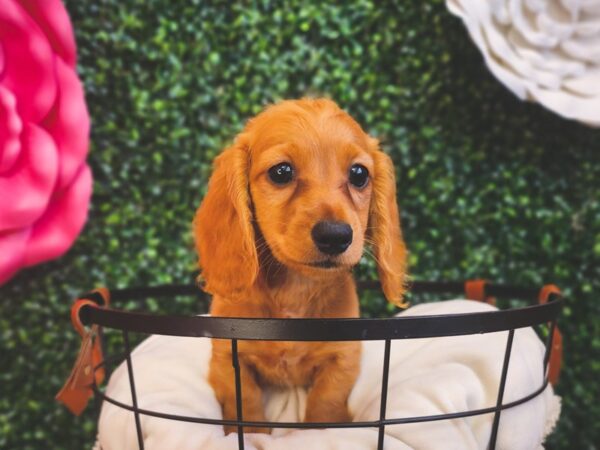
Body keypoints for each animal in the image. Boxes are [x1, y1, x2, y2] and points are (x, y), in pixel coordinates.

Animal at [192, 97, 408, 432]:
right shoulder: (226, 358)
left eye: (359, 174)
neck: (295, 290)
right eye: (281, 172)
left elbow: (325, 402)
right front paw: (252, 434)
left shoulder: (343, 358)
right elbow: (246, 401)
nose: (335, 236)